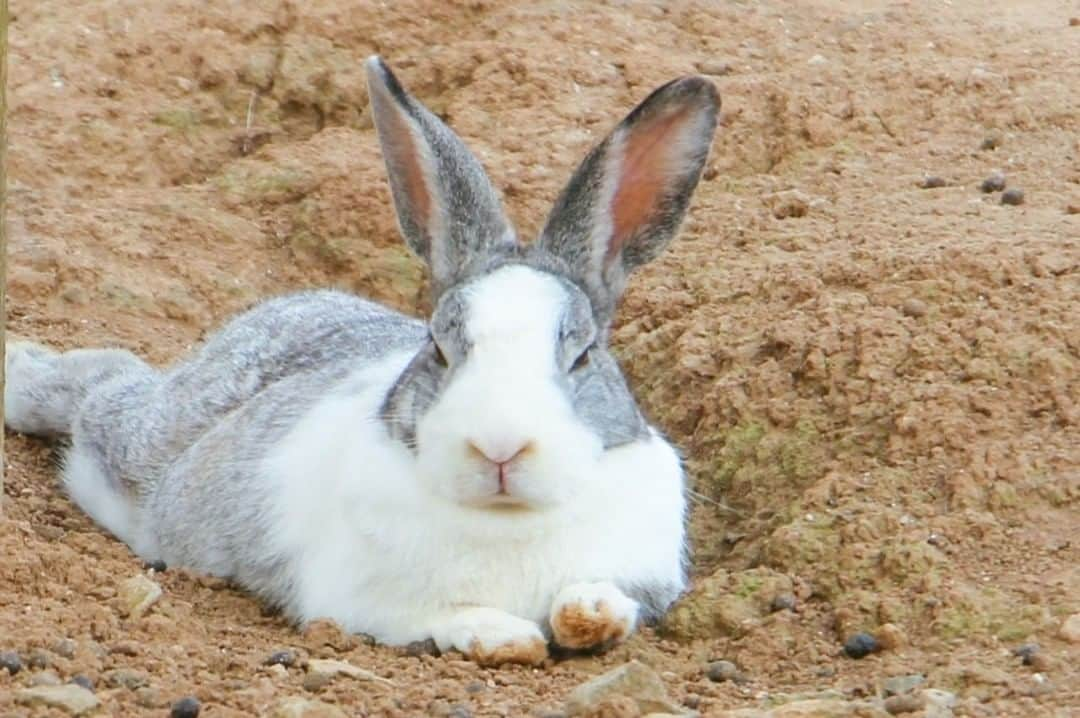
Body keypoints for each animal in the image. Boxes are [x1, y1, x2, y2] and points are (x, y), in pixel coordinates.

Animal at [6, 57, 725, 665]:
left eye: (582, 354)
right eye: (438, 347)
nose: (500, 447)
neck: (506, 518)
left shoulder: (647, 574)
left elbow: (615, 598)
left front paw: (589, 615)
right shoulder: (364, 599)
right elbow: (441, 615)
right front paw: (503, 636)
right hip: (143, 439)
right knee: (103, 384)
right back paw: (20, 369)